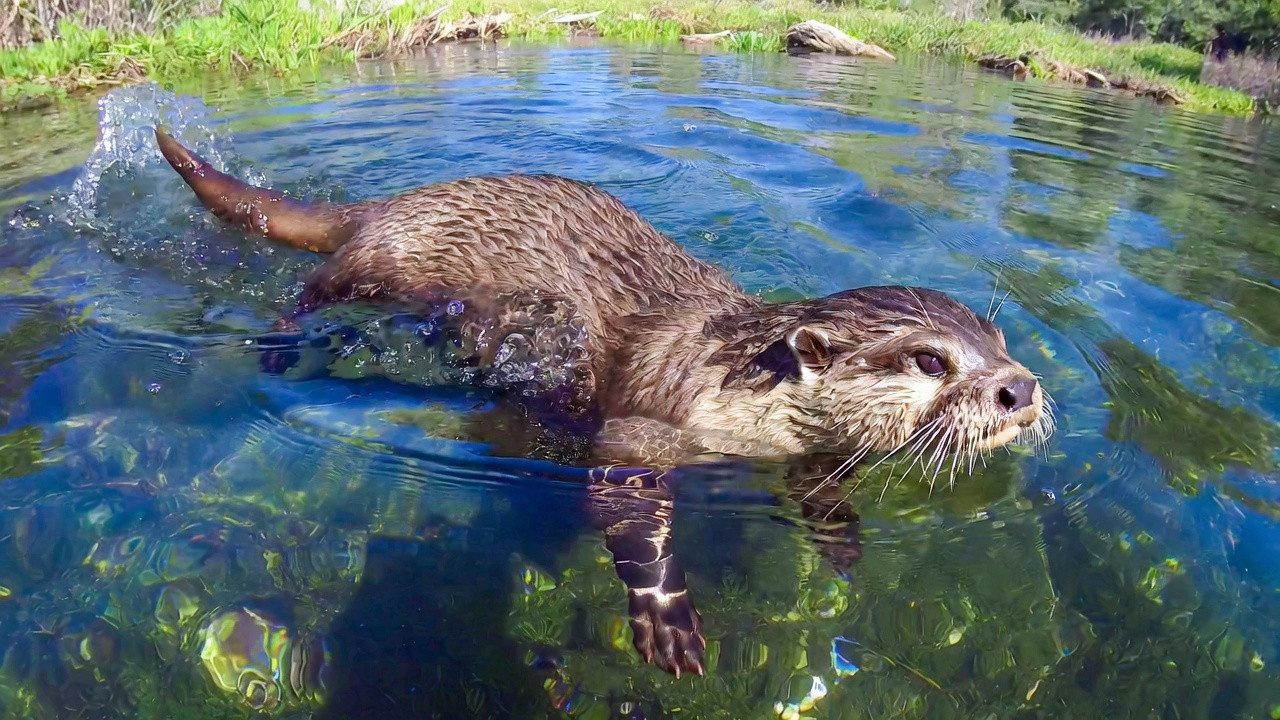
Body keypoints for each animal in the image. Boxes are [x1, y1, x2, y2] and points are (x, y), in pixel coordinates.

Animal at [151, 126, 1053, 679]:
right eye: (932, 360)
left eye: (997, 335)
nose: (1020, 388)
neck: (736, 395)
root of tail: (398, 201)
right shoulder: (641, 432)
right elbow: (629, 518)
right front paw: (665, 619)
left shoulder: (804, 454)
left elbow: (824, 489)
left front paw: (840, 541)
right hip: (384, 266)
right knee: (315, 285)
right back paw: (278, 341)